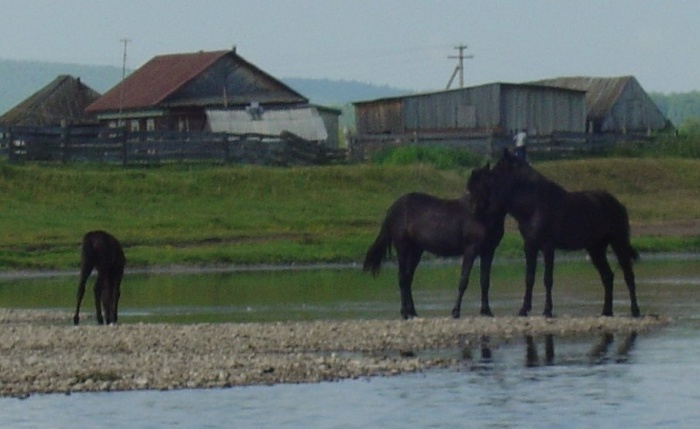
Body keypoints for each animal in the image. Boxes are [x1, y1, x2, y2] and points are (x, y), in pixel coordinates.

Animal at [364, 166, 506, 320]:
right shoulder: (471, 250)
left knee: (408, 278)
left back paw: (412, 312)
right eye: (472, 187)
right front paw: (456, 312)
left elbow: (485, 281)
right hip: (402, 247)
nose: (474, 210)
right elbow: (463, 280)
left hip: (416, 250)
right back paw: (404, 313)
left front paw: (486, 311)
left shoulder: (488, 251)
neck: (485, 218)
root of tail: (393, 208)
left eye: (485, 185)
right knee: (402, 278)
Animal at [470, 149, 640, 316]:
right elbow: (529, 278)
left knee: (628, 275)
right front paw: (524, 309)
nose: (481, 204)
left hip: (619, 242)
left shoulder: (548, 247)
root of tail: (618, 204)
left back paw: (635, 310)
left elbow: (548, 279)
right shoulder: (529, 246)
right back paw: (607, 311)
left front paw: (547, 310)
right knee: (608, 276)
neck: (535, 205)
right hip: (595, 248)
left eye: (498, 171)